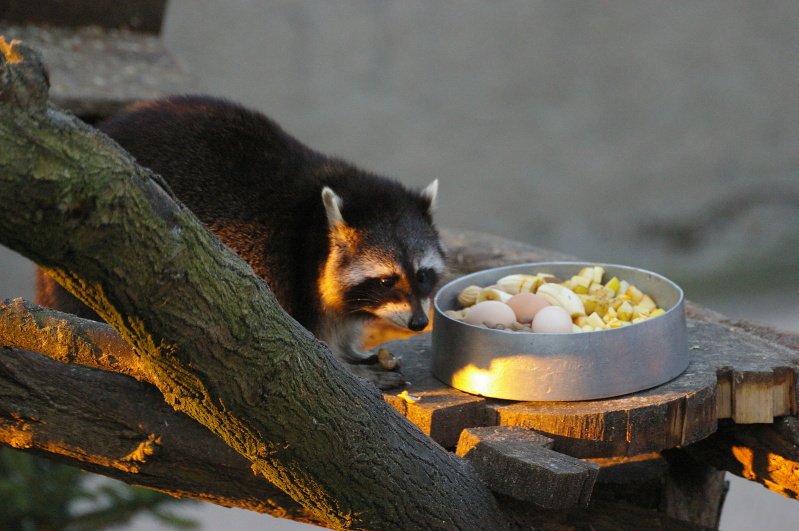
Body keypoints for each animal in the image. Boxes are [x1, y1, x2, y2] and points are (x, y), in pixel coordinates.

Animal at [34, 94, 446, 386]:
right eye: (387, 280)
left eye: (423, 275)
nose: (418, 323)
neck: (317, 226)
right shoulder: (285, 264)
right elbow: (310, 345)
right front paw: (349, 369)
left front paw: (352, 351)